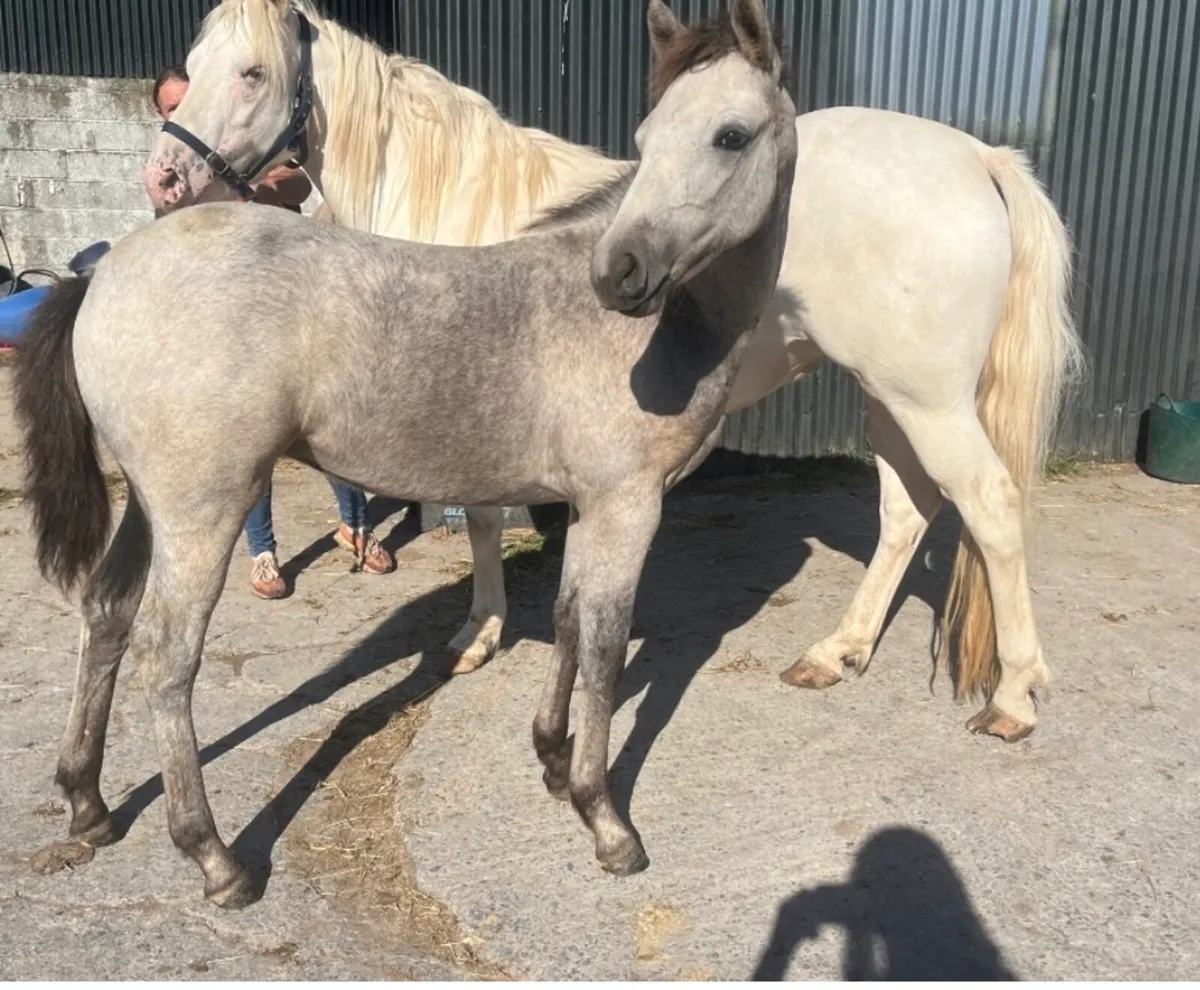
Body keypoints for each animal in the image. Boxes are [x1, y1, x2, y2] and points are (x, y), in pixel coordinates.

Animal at [15, 0, 797, 907]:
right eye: (647, 133)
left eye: (731, 135)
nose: (621, 274)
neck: (664, 329)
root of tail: (101, 276)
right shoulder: (627, 503)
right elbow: (604, 646)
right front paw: (606, 821)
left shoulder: (588, 504)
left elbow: (568, 619)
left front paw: (551, 759)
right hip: (201, 508)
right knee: (166, 656)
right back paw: (214, 858)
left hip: (151, 504)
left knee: (104, 614)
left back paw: (88, 801)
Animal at [144, 0, 1084, 742]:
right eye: (191, 67)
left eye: (254, 72)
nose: (165, 178)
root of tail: (978, 156)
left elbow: (481, 524)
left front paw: (476, 634)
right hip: (889, 395)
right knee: (906, 512)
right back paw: (836, 652)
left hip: (929, 400)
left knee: (989, 507)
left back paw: (1013, 698)